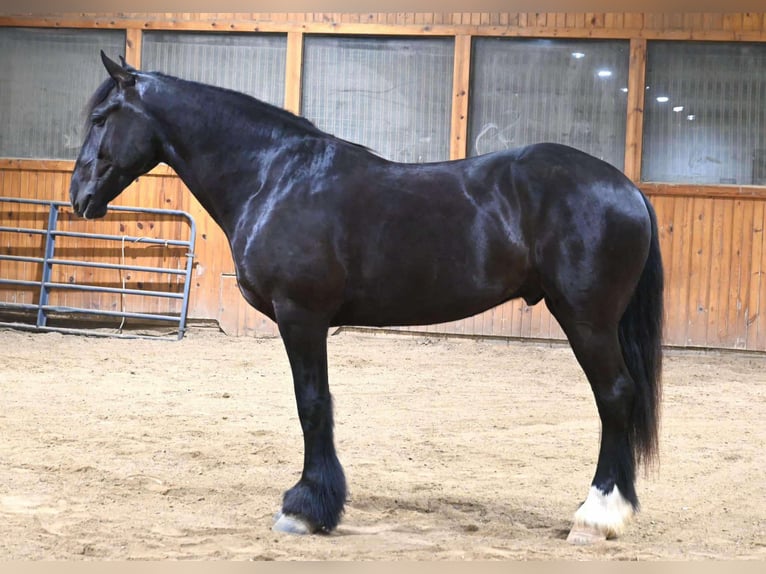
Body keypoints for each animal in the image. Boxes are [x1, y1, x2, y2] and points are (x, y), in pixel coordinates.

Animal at [69, 52, 664, 545]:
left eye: (101, 119)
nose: (79, 197)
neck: (274, 177)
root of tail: (627, 187)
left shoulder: (301, 317)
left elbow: (312, 404)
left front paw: (306, 509)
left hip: (586, 319)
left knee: (614, 396)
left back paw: (597, 517)